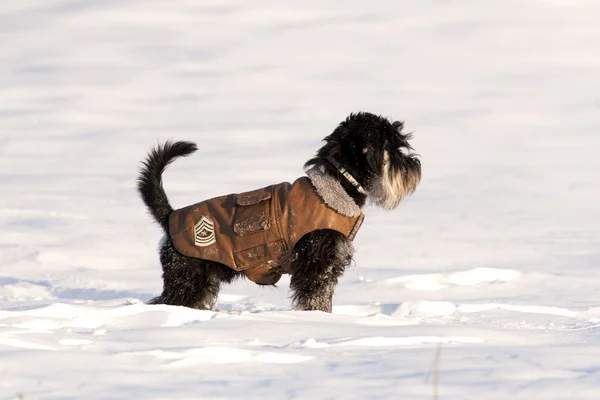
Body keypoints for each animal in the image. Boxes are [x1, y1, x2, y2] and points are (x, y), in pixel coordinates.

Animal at [138, 112, 420, 312]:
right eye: (393, 147)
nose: (414, 165)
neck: (339, 184)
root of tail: (169, 217)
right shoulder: (317, 263)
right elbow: (315, 298)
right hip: (188, 279)